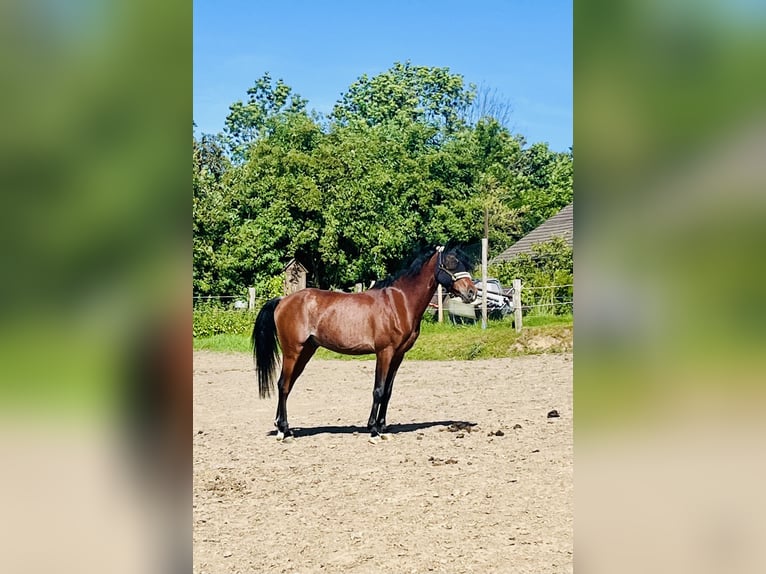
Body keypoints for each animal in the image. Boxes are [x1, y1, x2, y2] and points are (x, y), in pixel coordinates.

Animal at [255, 248, 476, 446]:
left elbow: (388, 391)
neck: (399, 302)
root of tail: (283, 300)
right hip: (292, 352)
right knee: (283, 385)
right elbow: (378, 390)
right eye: (451, 264)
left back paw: (282, 427)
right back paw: (284, 432)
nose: (471, 292)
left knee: (288, 384)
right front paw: (373, 431)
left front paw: (382, 429)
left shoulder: (398, 355)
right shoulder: (384, 352)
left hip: (306, 351)